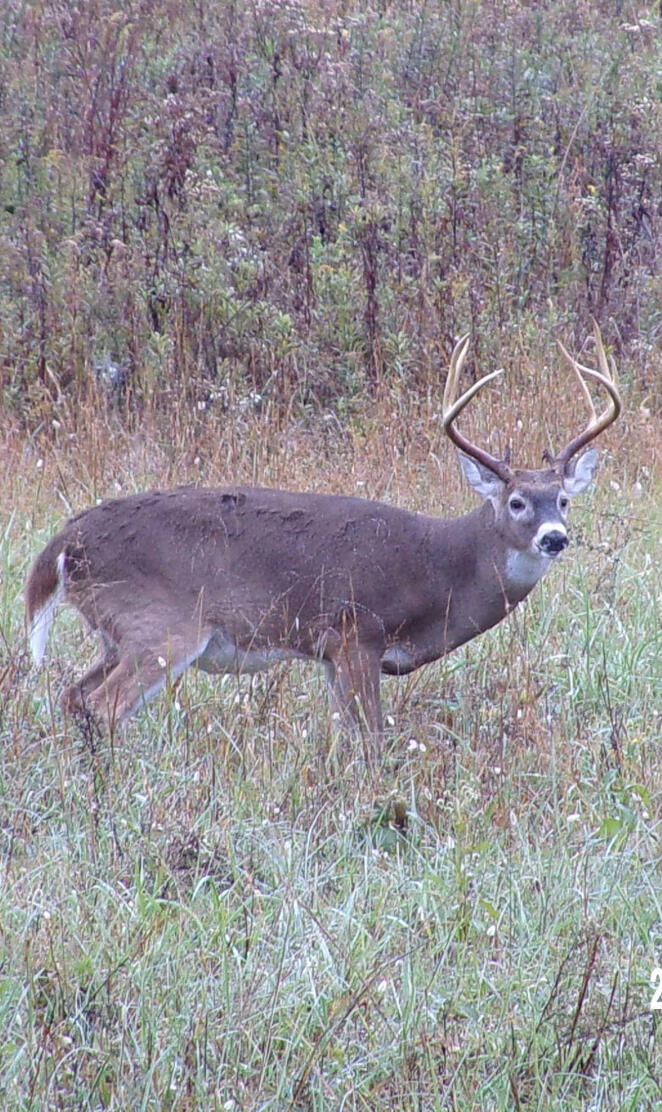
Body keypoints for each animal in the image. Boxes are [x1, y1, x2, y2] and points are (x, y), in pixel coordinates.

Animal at [25, 324, 620, 753]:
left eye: (562, 500)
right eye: (516, 501)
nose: (554, 538)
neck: (440, 568)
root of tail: (64, 544)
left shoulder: (330, 653)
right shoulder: (358, 631)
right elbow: (373, 739)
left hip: (116, 630)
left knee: (72, 696)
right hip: (161, 625)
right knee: (103, 707)